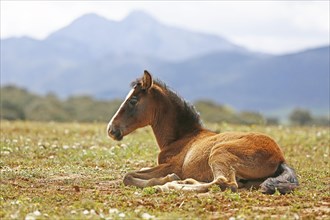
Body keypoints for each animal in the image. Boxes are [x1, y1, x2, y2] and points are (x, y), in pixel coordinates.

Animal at [106, 70, 300, 194]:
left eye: (133, 100)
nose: (111, 129)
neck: (183, 137)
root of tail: (280, 157)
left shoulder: (172, 165)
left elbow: (128, 176)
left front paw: (165, 180)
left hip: (220, 153)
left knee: (225, 183)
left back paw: (171, 185)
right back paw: (185, 181)